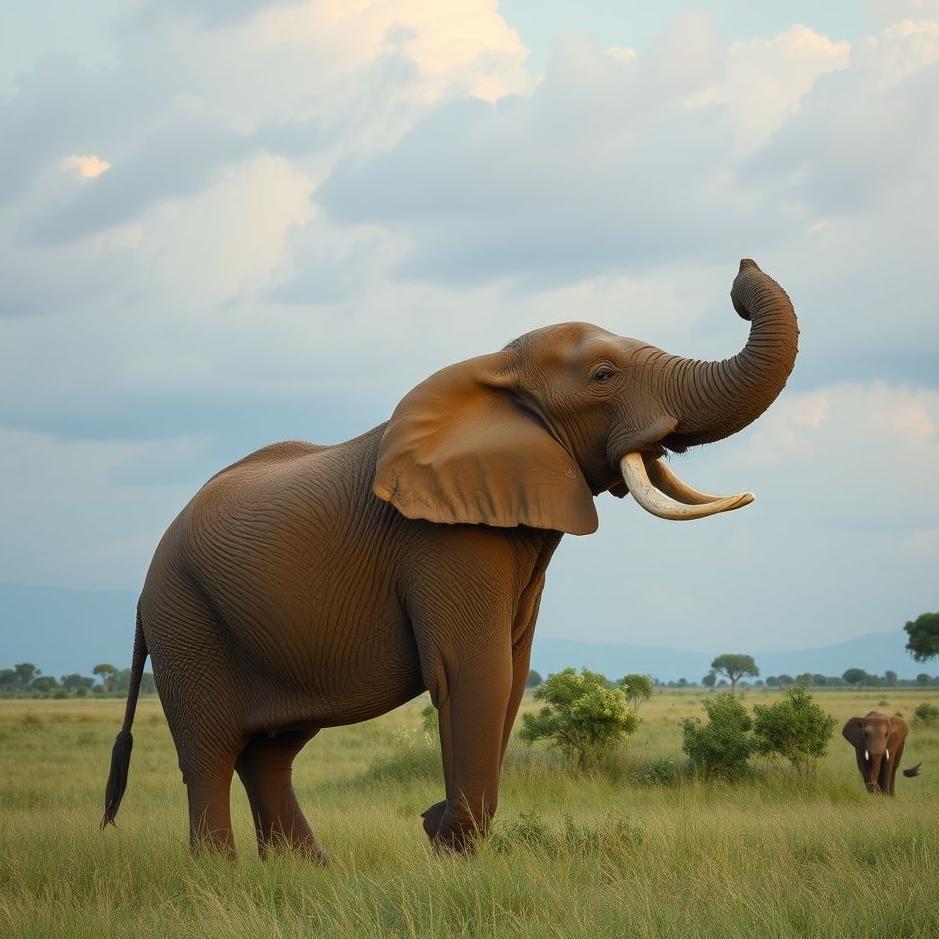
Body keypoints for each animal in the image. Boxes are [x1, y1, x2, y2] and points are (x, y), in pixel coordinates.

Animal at [102, 258, 798, 858]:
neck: (498, 371)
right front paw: (448, 844)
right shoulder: (440, 540)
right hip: (185, 616)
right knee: (210, 751)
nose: (741, 272)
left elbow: (512, 672)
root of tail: (145, 581)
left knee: (270, 751)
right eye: (603, 375)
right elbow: (474, 672)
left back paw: (306, 870)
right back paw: (219, 871)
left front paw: (441, 834)